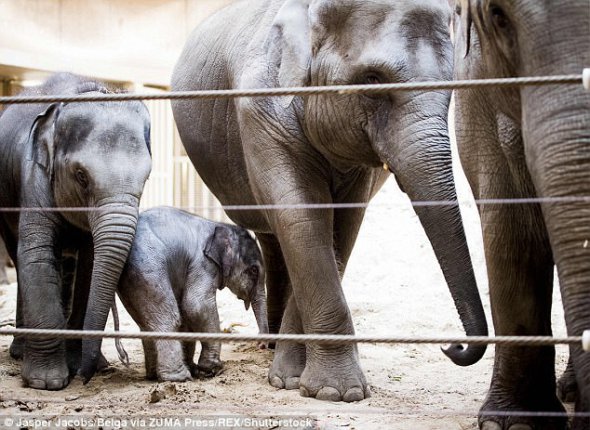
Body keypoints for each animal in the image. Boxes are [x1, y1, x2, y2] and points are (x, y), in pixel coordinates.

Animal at [0, 73, 153, 390]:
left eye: (146, 177)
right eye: (81, 176)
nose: (85, 377)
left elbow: (90, 266)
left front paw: (77, 365)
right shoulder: (34, 176)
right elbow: (36, 255)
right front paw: (47, 382)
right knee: (18, 258)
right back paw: (19, 352)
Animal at [116, 207, 268, 382]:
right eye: (254, 270)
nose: (261, 345)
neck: (218, 225)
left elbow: (188, 314)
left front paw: (197, 369)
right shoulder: (202, 263)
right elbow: (197, 306)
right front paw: (214, 369)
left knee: (148, 323)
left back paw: (155, 375)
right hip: (147, 267)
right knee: (169, 318)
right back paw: (179, 377)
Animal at [172, 0, 490, 404]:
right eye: (373, 79)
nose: (452, 346)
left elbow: (341, 226)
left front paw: (295, 380)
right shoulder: (260, 114)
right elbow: (302, 220)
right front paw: (332, 391)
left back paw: (273, 346)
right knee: (275, 233)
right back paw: (269, 345)